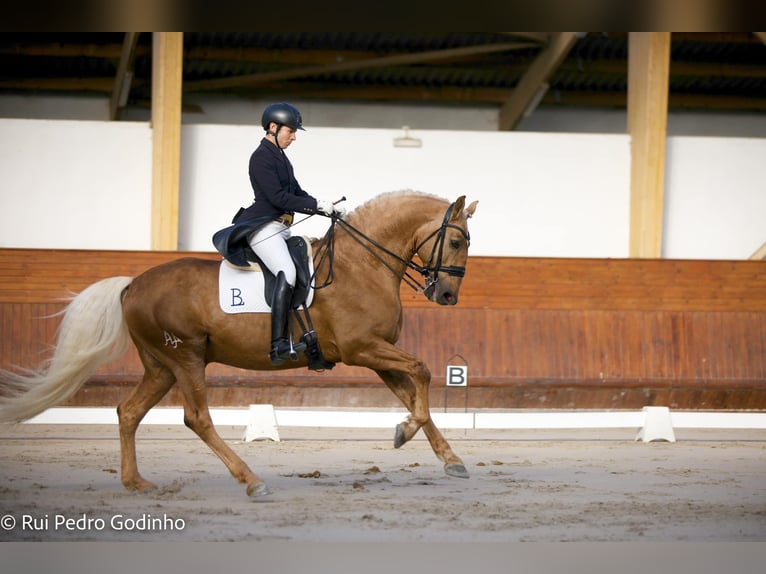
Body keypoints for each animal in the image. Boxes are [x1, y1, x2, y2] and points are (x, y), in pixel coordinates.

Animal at [1, 192, 480, 500]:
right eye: (456, 241)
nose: (446, 296)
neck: (359, 265)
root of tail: (132, 285)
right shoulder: (362, 348)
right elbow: (422, 372)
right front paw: (404, 432)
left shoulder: (378, 355)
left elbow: (416, 392)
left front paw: (448, 457)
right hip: (186, 357)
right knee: (196, 418)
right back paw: (251, 480)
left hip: (160, 366)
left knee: (129, 412)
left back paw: (136, 483)